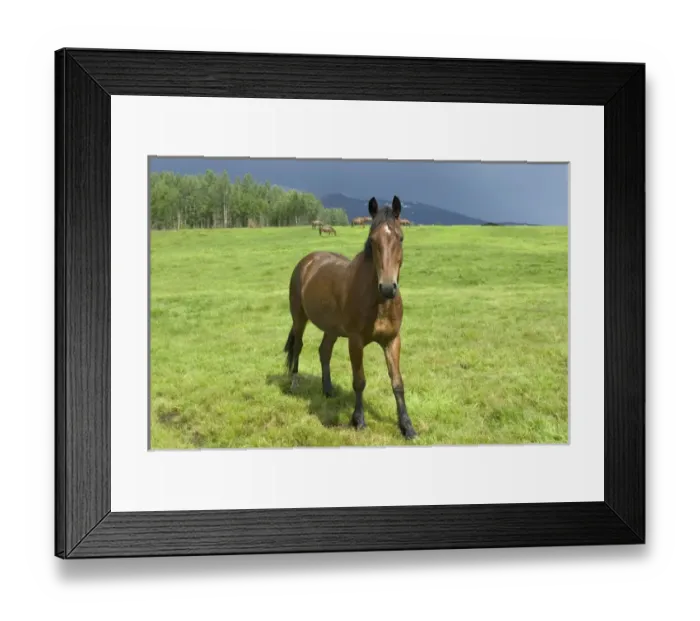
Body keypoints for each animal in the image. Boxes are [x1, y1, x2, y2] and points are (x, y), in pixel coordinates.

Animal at [283, 195, 417, 440]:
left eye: (400, 238)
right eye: (372, 240)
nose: (387, 287)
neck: (378, 302)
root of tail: (307, 262)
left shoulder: (392, 340)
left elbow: (397, 383)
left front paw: (407, 427)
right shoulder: (355, 341)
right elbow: (359, 380)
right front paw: (359, 420)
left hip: (331, 329)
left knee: (324, 351)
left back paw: (328, 390)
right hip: (299, 318)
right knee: (297, 347)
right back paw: (294, 384)